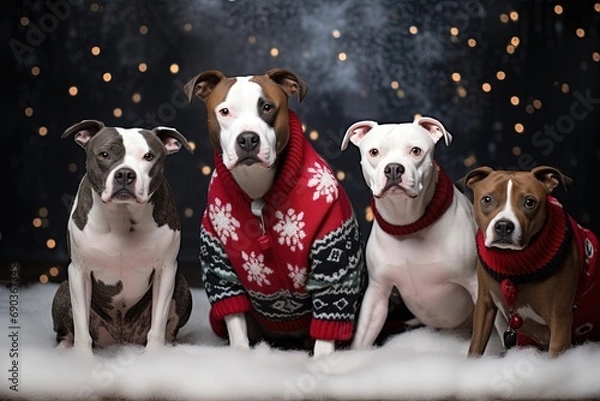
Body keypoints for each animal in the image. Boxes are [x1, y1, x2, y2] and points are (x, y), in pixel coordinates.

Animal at [460, 164, 600, 354]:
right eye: (487, 200)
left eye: (529, 202)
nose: (503, 226)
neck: (513, 260)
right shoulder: (484, 304)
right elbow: (476, 344)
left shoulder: (560, 319)